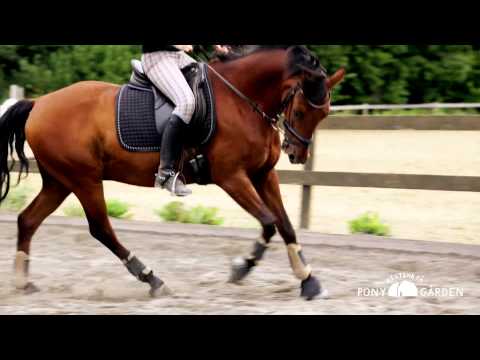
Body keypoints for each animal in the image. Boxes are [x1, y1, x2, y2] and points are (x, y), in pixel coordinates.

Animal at [0, 45, 344, 300]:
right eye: (300, 111)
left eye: (324, 113)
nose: (297, 154)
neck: (242, 98)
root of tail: (39, 103)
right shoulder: (232, 177)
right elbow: (269, 222)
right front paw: (242, 268)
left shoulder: (262, 175)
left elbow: (285, 225)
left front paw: (309, 281)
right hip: (84, 179)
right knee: (101, 229)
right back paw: (152, 279)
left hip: (59, 181)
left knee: (28, 220)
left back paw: (23, 282)